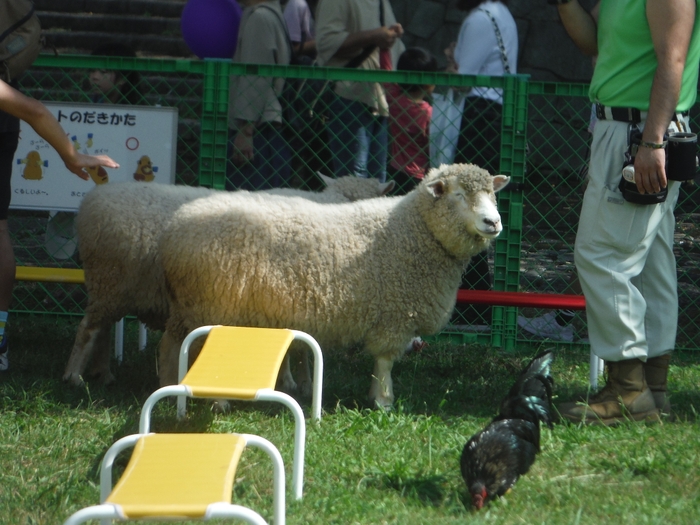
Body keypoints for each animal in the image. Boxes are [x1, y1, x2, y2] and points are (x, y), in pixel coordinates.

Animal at [63, 175, 396, 384]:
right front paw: (294, 382)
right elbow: (298, 350)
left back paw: (102, 374)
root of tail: (91, 201)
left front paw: (293, 381)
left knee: (102, 330)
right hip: (111, 281)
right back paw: (74, 376)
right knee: (87, 329)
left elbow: (297, 348)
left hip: (113, 289)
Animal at [157, 163, 508, 406]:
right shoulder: (395, 313)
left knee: (172, 343)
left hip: (190, 304)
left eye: (492, 194)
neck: (414, 229)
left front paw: (374, 395)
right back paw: (215, 400)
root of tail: (175, 226)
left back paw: (169, 386)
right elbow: (385, 360)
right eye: (459, 194)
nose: (494, 222)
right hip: (212, 303)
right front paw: (383, 400)